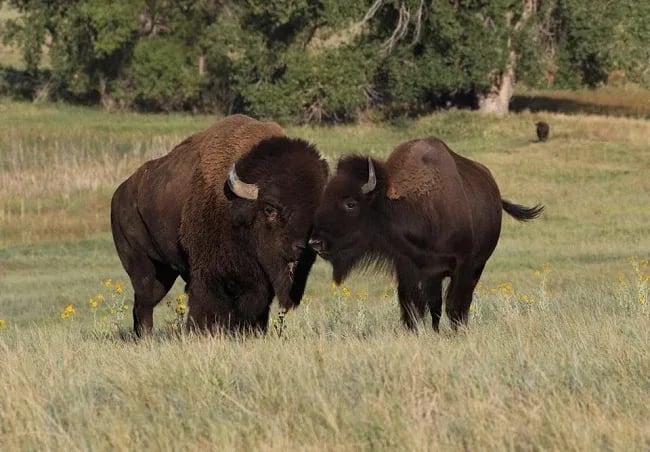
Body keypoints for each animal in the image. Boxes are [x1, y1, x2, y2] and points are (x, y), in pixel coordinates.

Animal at [110, 115, 330, 336]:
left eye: (316, 212)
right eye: (270, 209)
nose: (302, 248)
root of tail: (119, 193)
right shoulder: (208, 275)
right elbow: (206, 305)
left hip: (165, 272)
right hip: (143, 266)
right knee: (145, 302)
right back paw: (145, 336)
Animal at [308, 136, 540, 330]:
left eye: (350, 203)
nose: (316, 242)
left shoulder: (462, 267)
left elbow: (454, 306)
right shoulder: (410, 270)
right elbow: (414, 308)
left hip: (478, 266)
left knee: (462, 303)